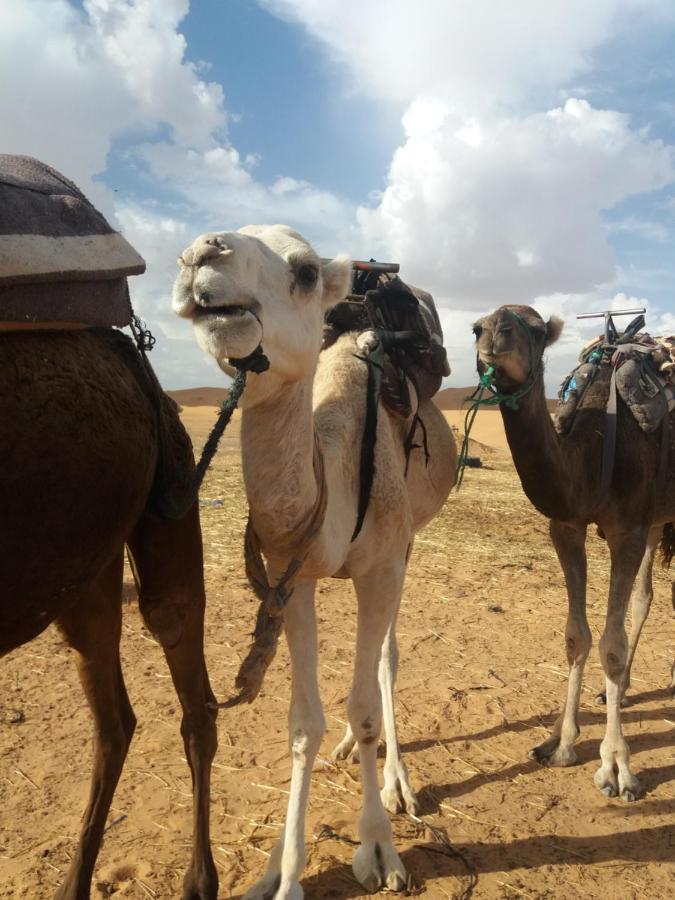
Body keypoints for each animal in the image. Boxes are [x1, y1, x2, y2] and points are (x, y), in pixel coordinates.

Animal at [0, 328, 217, 900]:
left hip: (170, 488)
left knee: (184, 673)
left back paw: (198, 880)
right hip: (84, 567)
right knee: (116, 720)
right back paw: (74, 883)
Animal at [174, 223, 460, 892]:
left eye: (304, 271)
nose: (202, 253)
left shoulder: (381, 567)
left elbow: (366, 707)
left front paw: (378, 849)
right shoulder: (294, 575)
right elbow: (305, 723)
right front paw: (281, 872)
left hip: (407, 542)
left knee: (386, 659)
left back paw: (396, 781)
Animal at [472, 308, 672, 800]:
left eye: (536, 328)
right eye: (476, 328)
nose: (493, 333)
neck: (594, 448)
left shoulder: (626, 530)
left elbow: (612, 647)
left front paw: (617, 767)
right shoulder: (566, 527)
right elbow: (576, 636)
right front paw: (561, 743)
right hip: (657, 518)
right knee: (645, 597)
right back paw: (619, 692)